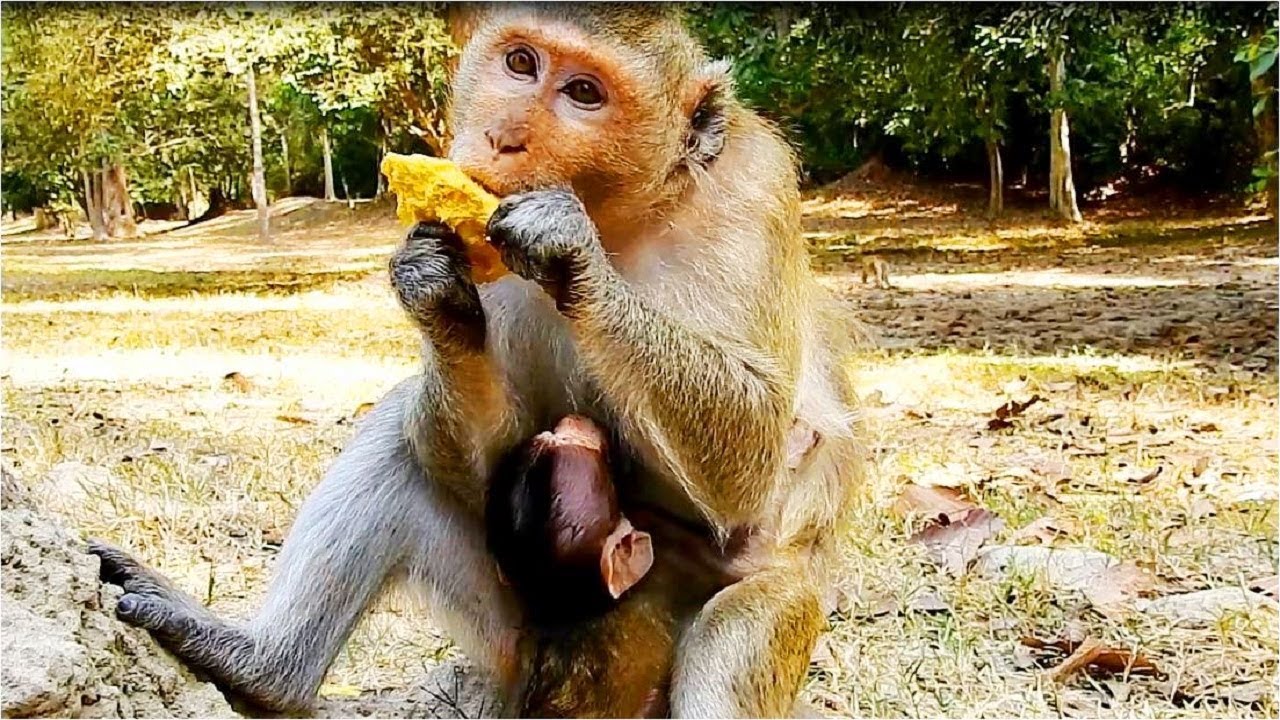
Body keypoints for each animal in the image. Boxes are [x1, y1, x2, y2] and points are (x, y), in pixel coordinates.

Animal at [89, 5, 862, 716]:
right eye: (520, 63)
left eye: (584, 93)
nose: (503, 137)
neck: (623, 219)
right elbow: (491, 454)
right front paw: (437, 294)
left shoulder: (751, 189)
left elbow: (752, 457)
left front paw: (569, 255)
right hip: (509, 623)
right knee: (401, 434)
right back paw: (263, 668)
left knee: (738, 628)